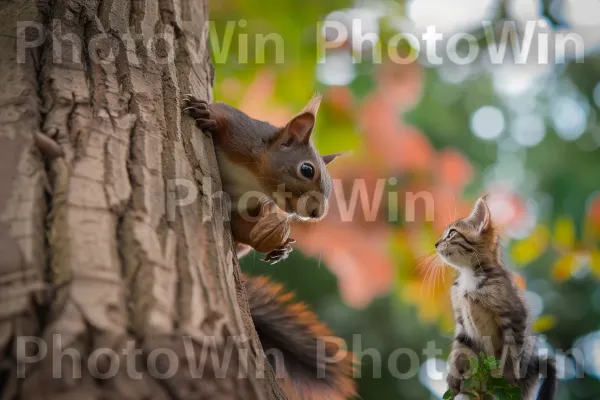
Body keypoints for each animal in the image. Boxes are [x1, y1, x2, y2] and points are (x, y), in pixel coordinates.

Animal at [183, 92, 340, 264]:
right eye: (307, 170)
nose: (317, 213)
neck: (253, 179)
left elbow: (244, 228)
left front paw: (281, 248)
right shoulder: (240, 129)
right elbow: (220, 112)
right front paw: (206, 113)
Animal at [436, 198, 556, 400]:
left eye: (451, 233)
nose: (436, 244)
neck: (469, 278)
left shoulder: (515, 317)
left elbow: (512, 355)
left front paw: (504, 382)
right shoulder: (461, 320)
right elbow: (460, 347)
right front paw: (454, 378)